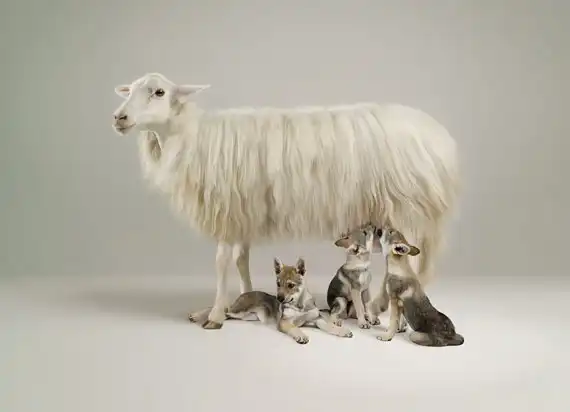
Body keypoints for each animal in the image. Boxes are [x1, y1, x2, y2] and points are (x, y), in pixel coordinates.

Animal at [111, 72, 460, 330]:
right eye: (130, 90)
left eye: (159, 92)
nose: (118, 117)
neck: (191, 137)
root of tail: (440, 137)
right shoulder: (242, 214)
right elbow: (241, 260)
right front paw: (241, 301)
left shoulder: (226, 212)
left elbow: (222, 263)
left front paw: (215, 315)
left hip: (408, 206)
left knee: (407, 263)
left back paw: (379, 308)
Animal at [225, 257, 353, 344]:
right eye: (278, 284)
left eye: (291, 285)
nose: (279, 299)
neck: (300, 306)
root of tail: (243, 294)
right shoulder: (284, 322)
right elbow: (294, 328)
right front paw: (301, 335)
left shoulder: (316, 319)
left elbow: (329, 326)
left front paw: (342, 331)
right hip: (239, 311)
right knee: (225, 311)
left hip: (247, 317)